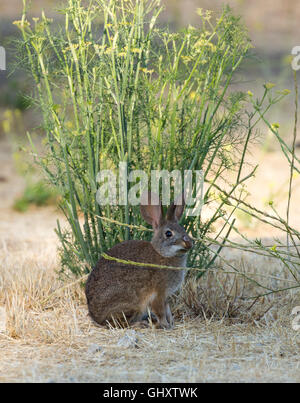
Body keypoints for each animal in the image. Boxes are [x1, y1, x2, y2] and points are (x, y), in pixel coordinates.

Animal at [85, 191, 192, 330]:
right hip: (132, 304)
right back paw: (141, 324)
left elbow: (168, 310)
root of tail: (95, 316)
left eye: (183, 229)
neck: (162, 253)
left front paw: (171, 323)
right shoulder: (158, 294)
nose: (189, 244)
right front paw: (165, 325)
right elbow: (161, 312)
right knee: (121, 324)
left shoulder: (166, 297)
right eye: (168, 234)